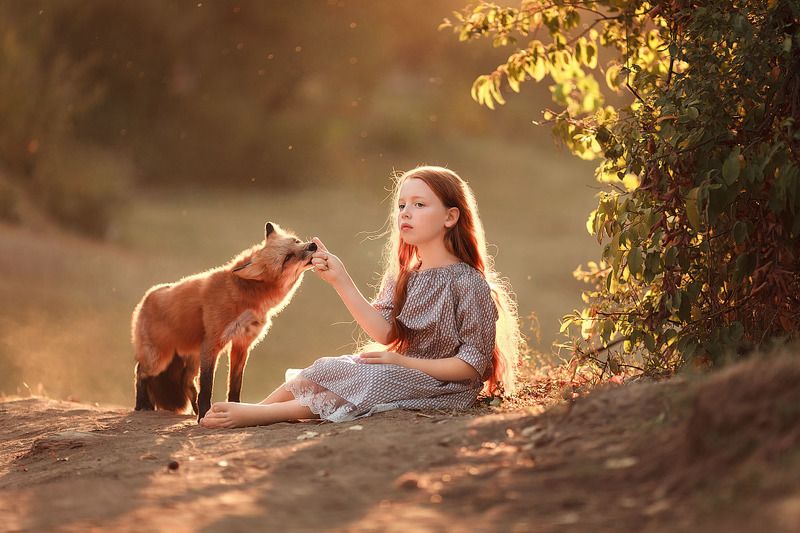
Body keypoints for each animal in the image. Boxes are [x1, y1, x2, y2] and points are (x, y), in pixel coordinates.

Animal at [131, 221, 316, 421]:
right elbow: (207, 387)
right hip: (159, 359)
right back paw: (142, 404)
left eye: (296, 241)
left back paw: (193, 409)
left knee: (187, 381)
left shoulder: (241, 344)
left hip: (192, 356)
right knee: (140, 371)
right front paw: (204, 415)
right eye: (287, 258)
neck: (245, 297)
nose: (313, 246)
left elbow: (234, 385)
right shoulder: (213, 343)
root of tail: (146, 298)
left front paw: (234, 409)